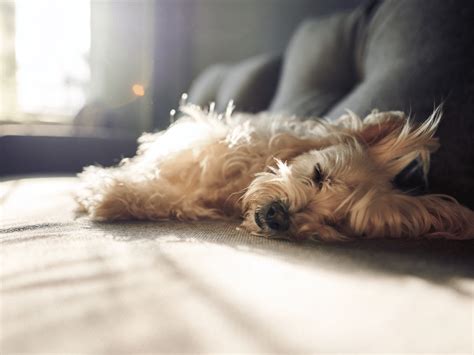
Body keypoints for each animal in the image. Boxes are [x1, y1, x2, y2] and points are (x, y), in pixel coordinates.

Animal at [75, 103, 474, 242]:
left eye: (338, 222)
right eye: (318, 173)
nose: (278, 216)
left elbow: (172, 197)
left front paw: (112, 195)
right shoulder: (208, 143)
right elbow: (164, 173)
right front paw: (103, 187)